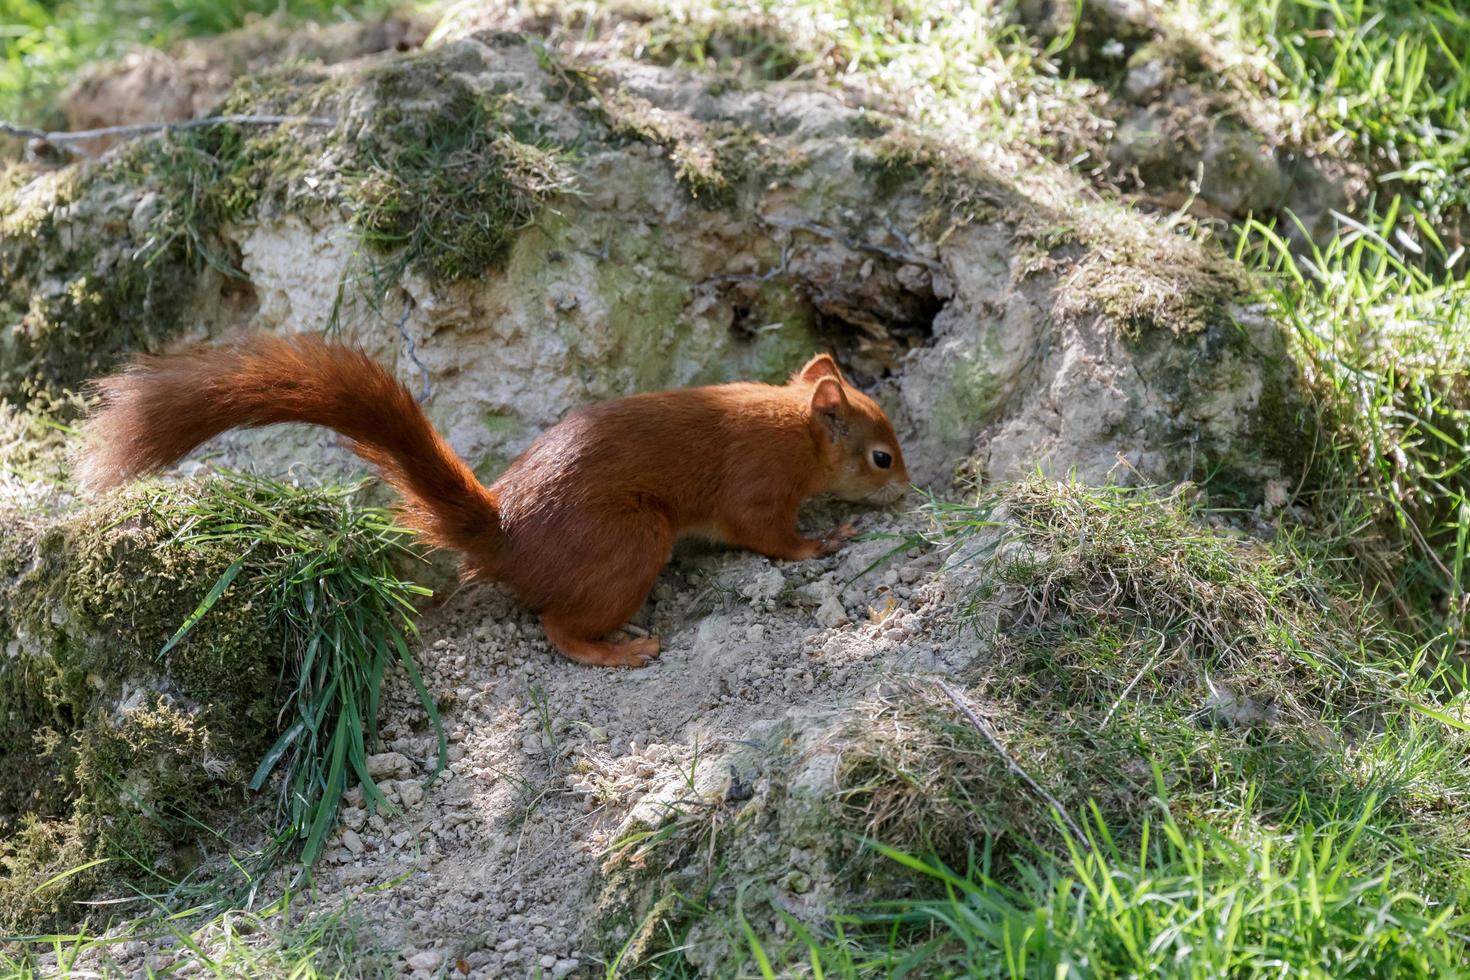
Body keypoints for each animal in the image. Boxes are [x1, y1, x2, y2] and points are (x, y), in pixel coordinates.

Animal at [80, 334, 911, 667]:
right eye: (881, 456)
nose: (908, 487)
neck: (794, 426)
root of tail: (506, 532)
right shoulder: (757, 484)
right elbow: (767, 535)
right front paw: (825, 541)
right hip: (633, 542)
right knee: (557, 629)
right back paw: (620, 649)